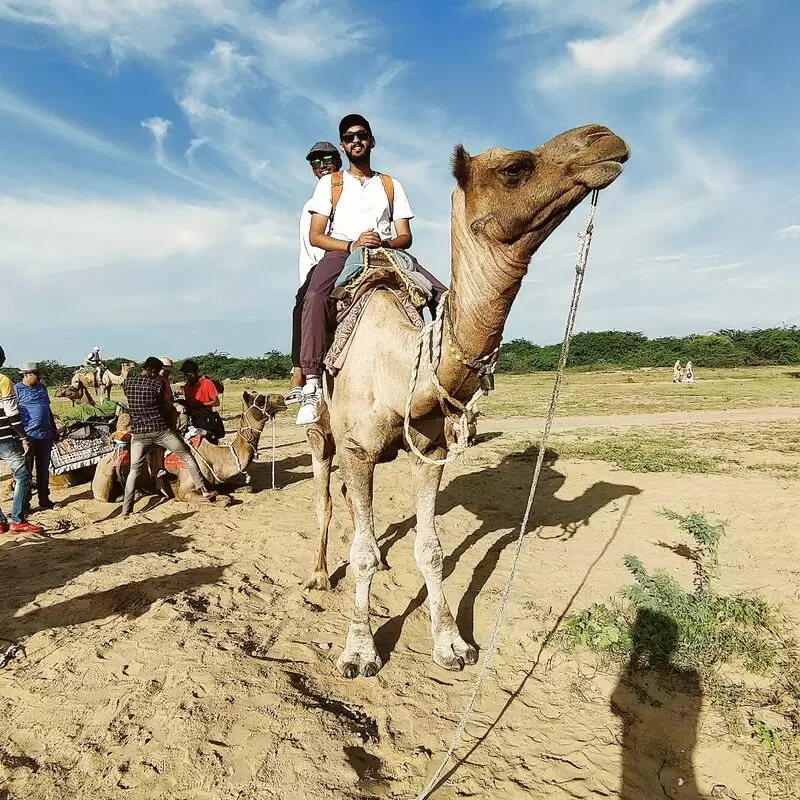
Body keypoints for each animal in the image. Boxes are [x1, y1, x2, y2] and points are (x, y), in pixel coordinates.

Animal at [92, 392, 286, 504]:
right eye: (260, 400)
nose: (282, 399)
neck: (214, 458)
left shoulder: (216, 481)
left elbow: (247, 488)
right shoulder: (185, 490)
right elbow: (223, 500)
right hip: (103, 477)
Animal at [304, 123, 628, 676]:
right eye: (515, 167)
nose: (605, 138)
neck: (402, 368)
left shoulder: (428, 450)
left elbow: (430, 548)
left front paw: (451, 644)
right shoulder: (356, 447)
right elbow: (361, 550)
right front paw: (359, 651)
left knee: (352, 508)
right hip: (321, 435)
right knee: (326, 498)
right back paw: (321, 575)